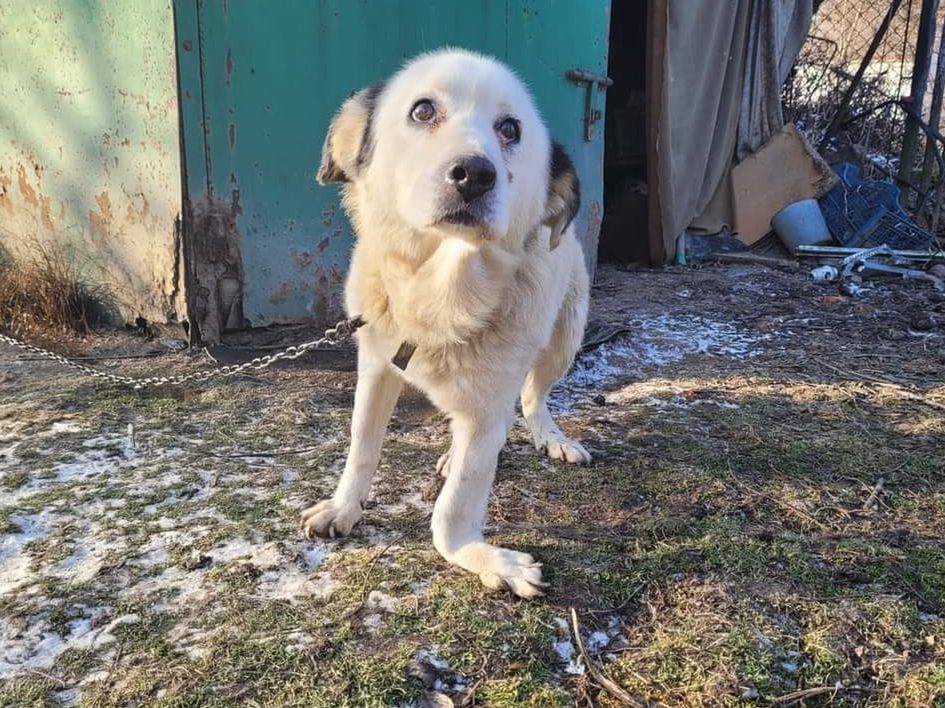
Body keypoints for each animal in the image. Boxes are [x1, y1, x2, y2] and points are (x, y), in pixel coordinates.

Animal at [300, 48, 592, 596]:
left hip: (565, 338)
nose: (474, 173)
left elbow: (452, 510)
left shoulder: (487, 410)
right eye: (423, 110)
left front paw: (483, 558)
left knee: (532, 398)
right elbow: (361, 448)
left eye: (510, 128)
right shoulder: (376, 367)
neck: (441, 299)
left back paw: (551, 437)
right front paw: (345, 507)